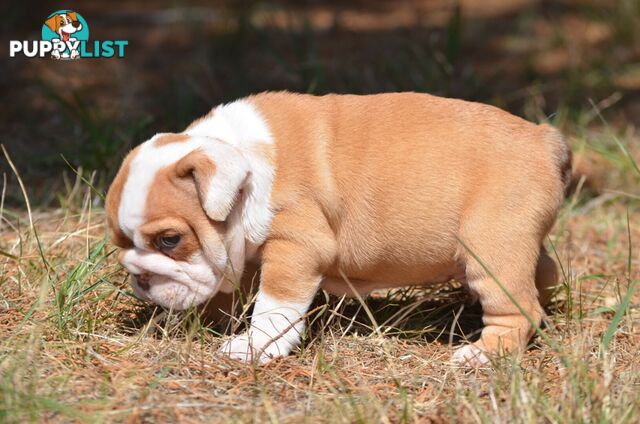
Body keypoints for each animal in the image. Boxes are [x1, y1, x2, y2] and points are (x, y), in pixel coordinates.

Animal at [105, 91, 568, 366]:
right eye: (122, 243)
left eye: (170, 240)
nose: (140, 278)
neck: (245, 165)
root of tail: (543, 138)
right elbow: (230, 290)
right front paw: (201, 321)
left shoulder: (295, 246)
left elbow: (274, 306)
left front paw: (254, 346)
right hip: (512, 244)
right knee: (542, 274)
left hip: (490, 247)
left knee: (517, 307)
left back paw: (482, 354)